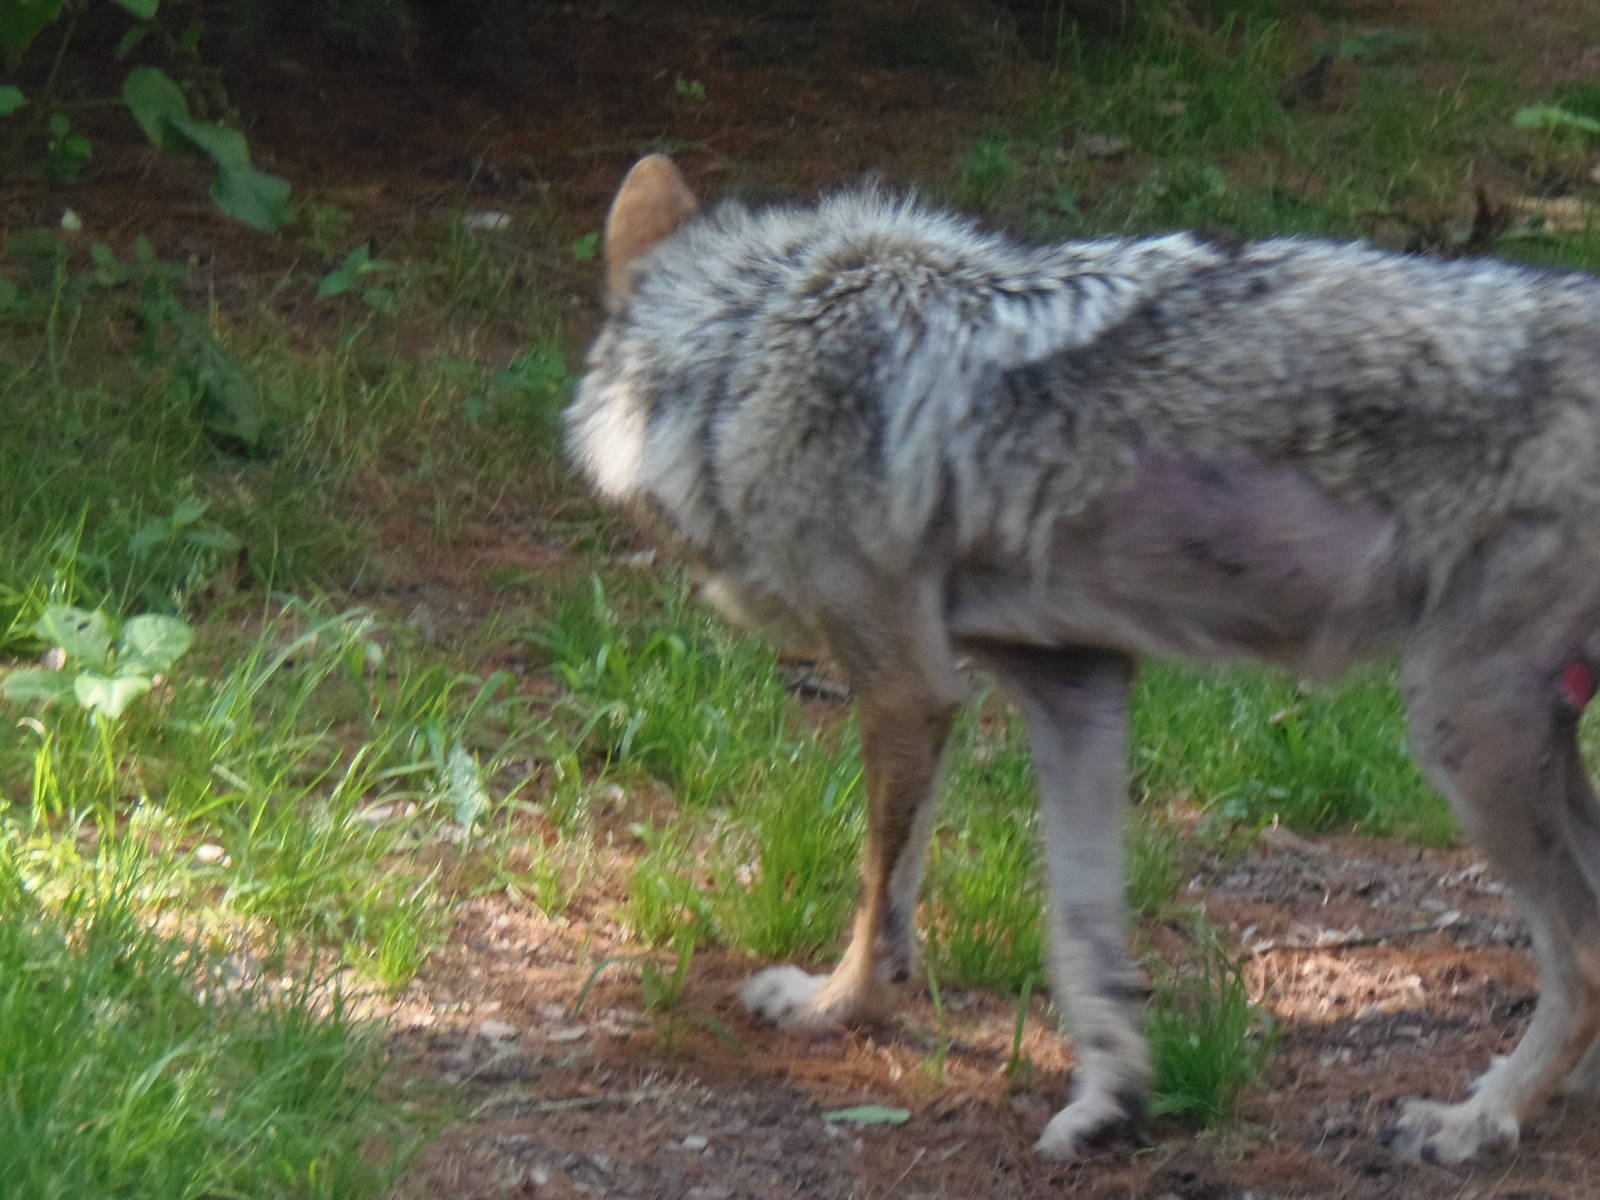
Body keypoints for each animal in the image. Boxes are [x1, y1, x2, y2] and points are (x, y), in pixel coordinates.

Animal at [566, 154, 1600, 1165]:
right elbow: (1083, 933)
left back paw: (1477, 1120)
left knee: (1581, 954)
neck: (743, 346)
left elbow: (880, 897)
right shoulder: (1077, 686)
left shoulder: (907, 689)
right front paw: (1110, 1102)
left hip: (1461, 725)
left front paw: (834, 1007)